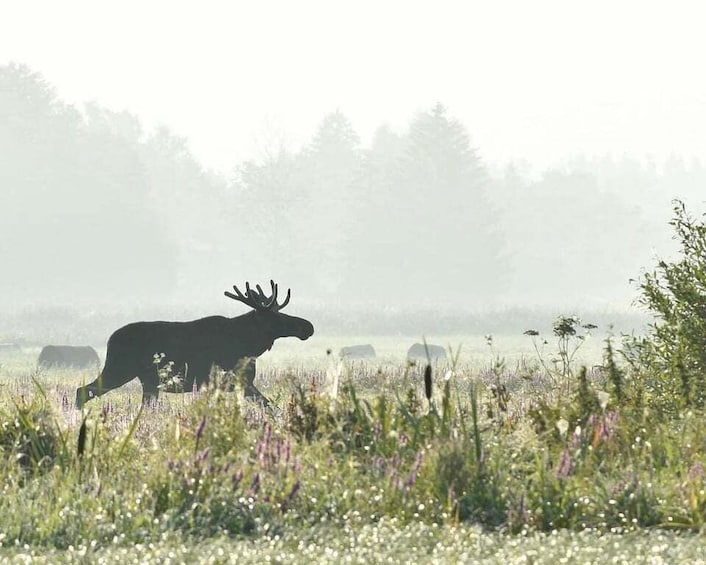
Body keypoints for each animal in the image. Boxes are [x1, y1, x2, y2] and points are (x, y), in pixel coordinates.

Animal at [75, 281, 314, 408]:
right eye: (275, 316)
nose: (307, 326)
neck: (248, 345)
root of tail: (109, 339)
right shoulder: (218, 380)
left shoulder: (241, 383)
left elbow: (270, 406)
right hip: (119, 370)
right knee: (82, 391)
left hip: (147, 381)